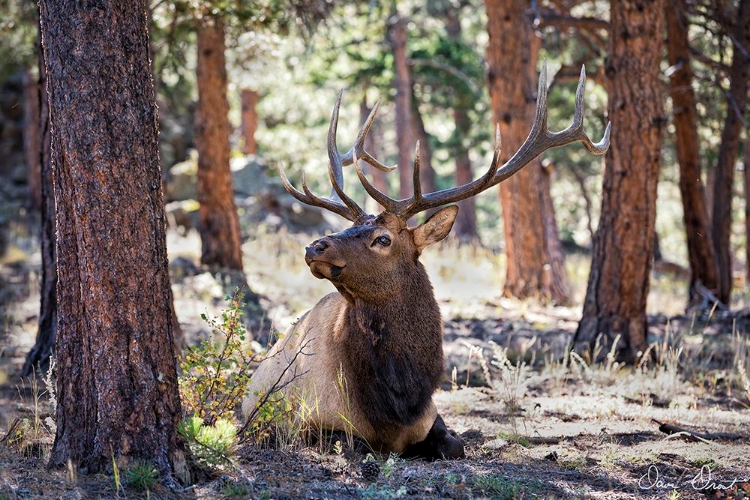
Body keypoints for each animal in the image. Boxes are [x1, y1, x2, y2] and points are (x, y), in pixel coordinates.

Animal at [244, 64, 612, 458]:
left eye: (383, 239)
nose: (315, 247)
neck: (399, 400)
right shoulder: (311, 422)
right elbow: (355, 443)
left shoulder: (432, 418)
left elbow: (456, 445)